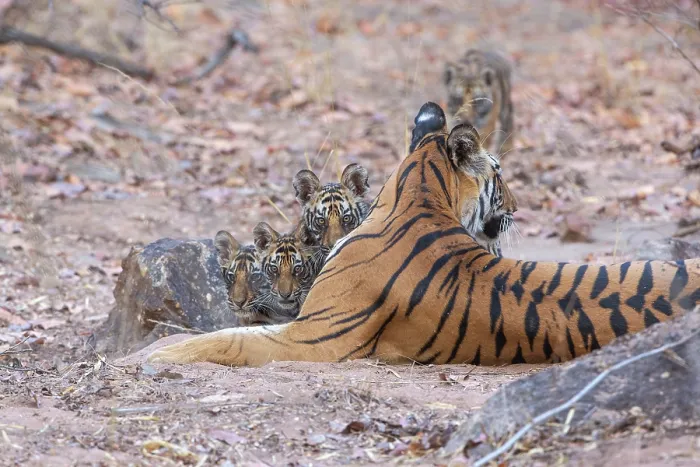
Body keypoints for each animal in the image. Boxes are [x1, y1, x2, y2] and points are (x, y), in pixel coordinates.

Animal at [148, 101, 700, 368]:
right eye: (500, 174)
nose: (518, 208)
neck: (421, 198)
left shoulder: (315, 336)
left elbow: (230, 340)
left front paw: (156, 354)